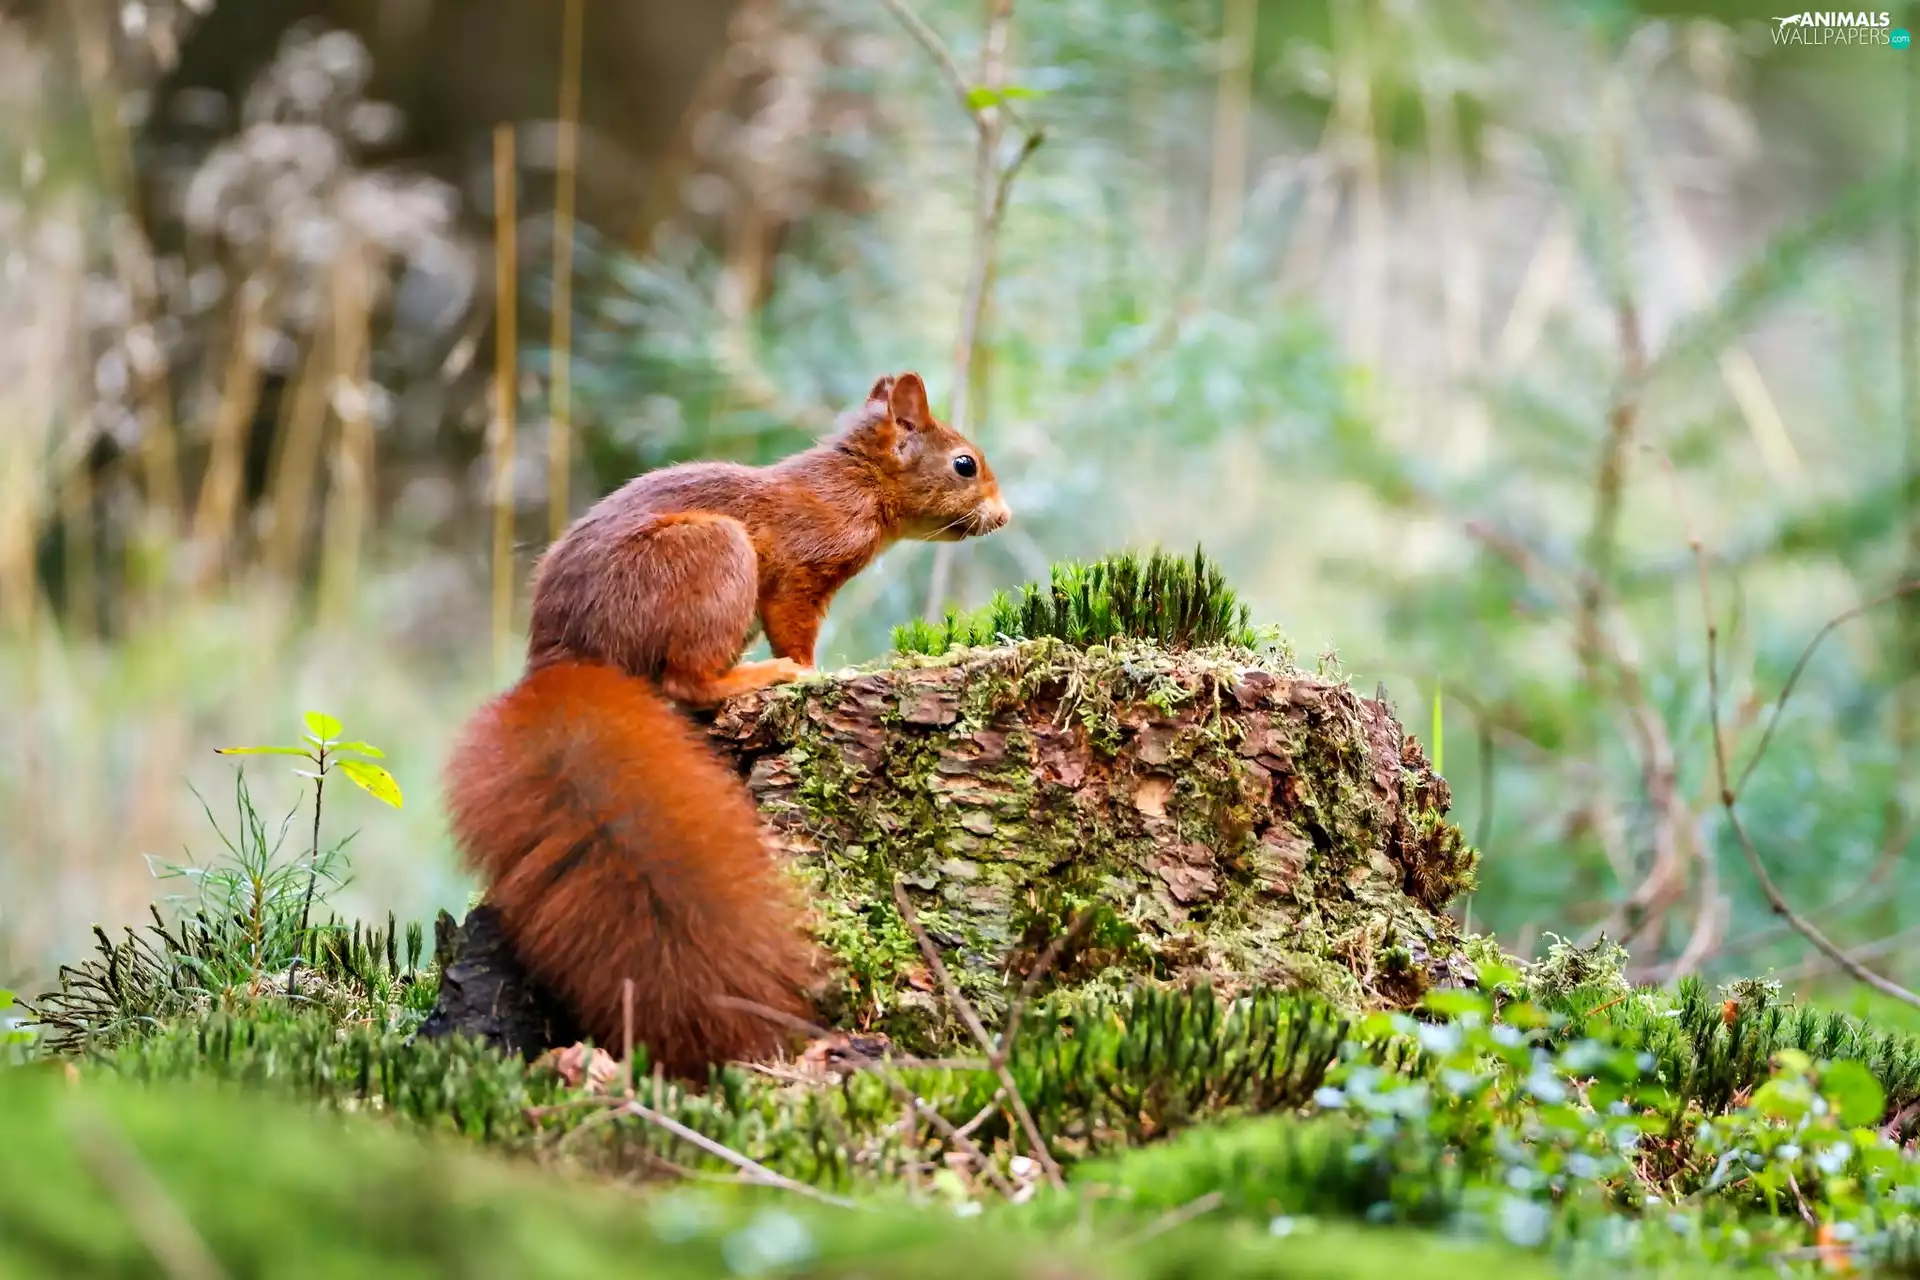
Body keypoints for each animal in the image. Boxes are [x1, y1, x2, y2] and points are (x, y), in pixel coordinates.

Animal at [443, 372, 1010, 1077]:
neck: (853, 481)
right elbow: (795, 628)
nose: (1005, 515)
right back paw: (761, 676)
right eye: (965, 465)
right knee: (686, 681)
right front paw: (809, 668)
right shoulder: (800, 572)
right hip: (712, 558)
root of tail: (564, 662)